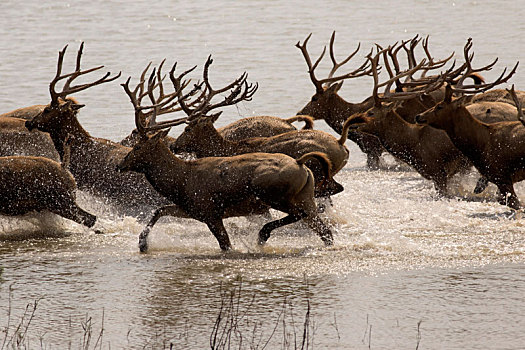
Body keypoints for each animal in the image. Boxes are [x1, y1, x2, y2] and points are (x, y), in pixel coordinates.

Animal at [116, 63, 334, 252]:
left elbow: (225, 244)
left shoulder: (210, 211)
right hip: (306, 196)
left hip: (273, 194)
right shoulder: (191, 209)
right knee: (325, 231)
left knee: (301, 216)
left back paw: (262, 235)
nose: (120, 164)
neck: (179, 182)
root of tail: (301, 164)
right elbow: (159, 210)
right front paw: (142, 244)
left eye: (137, 146)